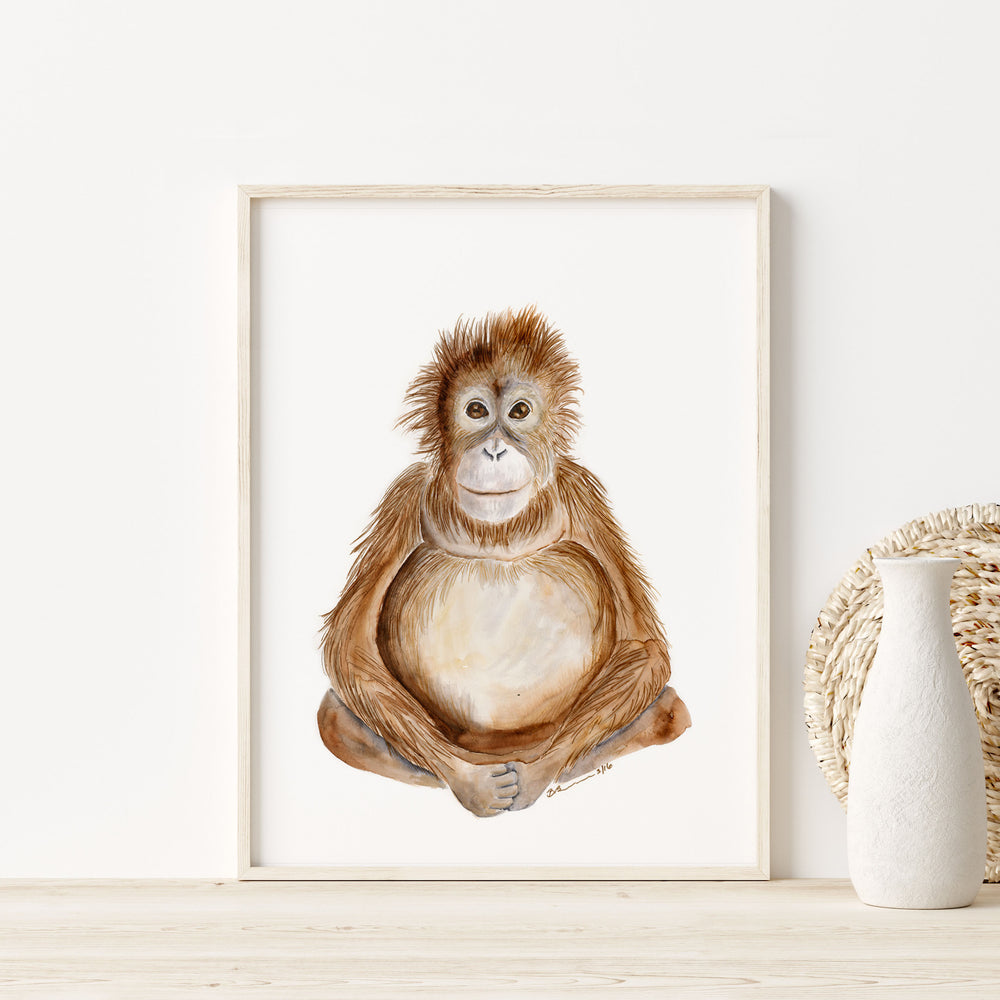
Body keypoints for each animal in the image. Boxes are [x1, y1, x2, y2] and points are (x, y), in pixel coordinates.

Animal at [318, 306, 690, 816]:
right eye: (476, 411)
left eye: (519, 412)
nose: (494, 449)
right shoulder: (403, 496)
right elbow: (350, 649)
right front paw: (471, 786)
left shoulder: (583, 492)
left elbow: (644, 646)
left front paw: (534, 778)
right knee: (334, 718)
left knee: (671, 711)